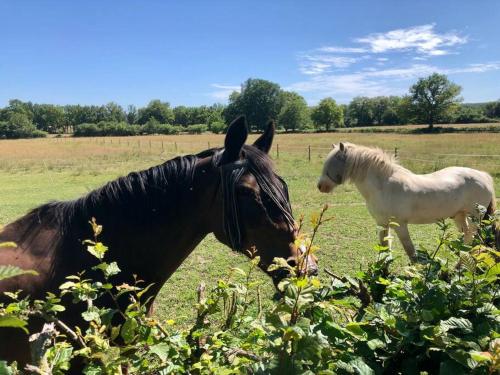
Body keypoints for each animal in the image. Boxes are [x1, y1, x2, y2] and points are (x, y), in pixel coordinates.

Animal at [318, 141, 498, 262]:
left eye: (332, 163)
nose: (320, 186)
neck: (384, 185)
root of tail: (484, 176)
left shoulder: (400, 225)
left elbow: (410, 251)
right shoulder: (382, 224)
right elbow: (384, 248)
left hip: (475, 217)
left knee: (472, 235)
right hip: (460, 216)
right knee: (468, 236)